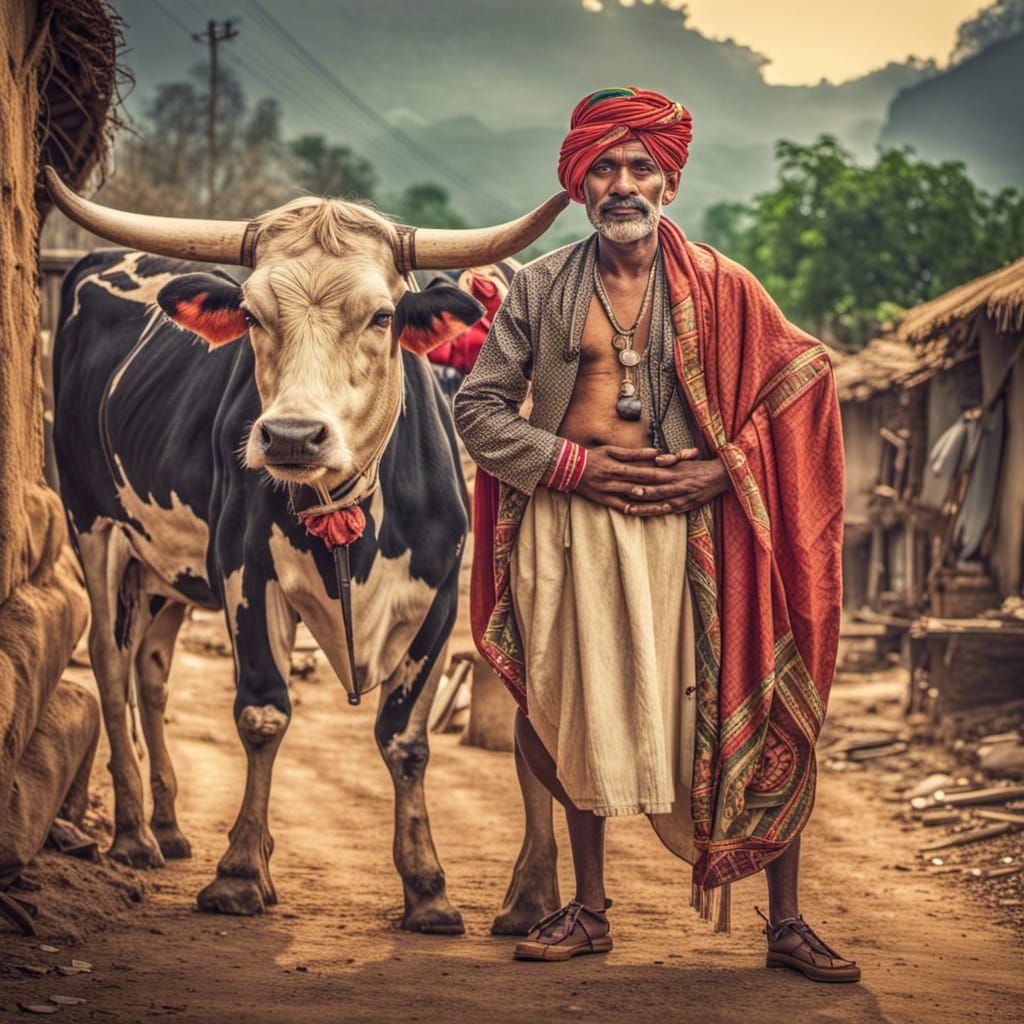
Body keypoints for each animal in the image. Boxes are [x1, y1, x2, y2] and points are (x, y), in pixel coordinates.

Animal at [47, 168, 567, 932]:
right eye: (253, 316)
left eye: (381, 316)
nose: (292, 435)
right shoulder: (244, 575)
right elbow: (263, 714)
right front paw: (240, 872)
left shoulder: (440, 599)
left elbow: (405, 740)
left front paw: (428, 889)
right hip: (97, 529)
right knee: (112, 672)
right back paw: (135, 832)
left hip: (167, 573)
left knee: (151, 670)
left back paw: (169, 827)